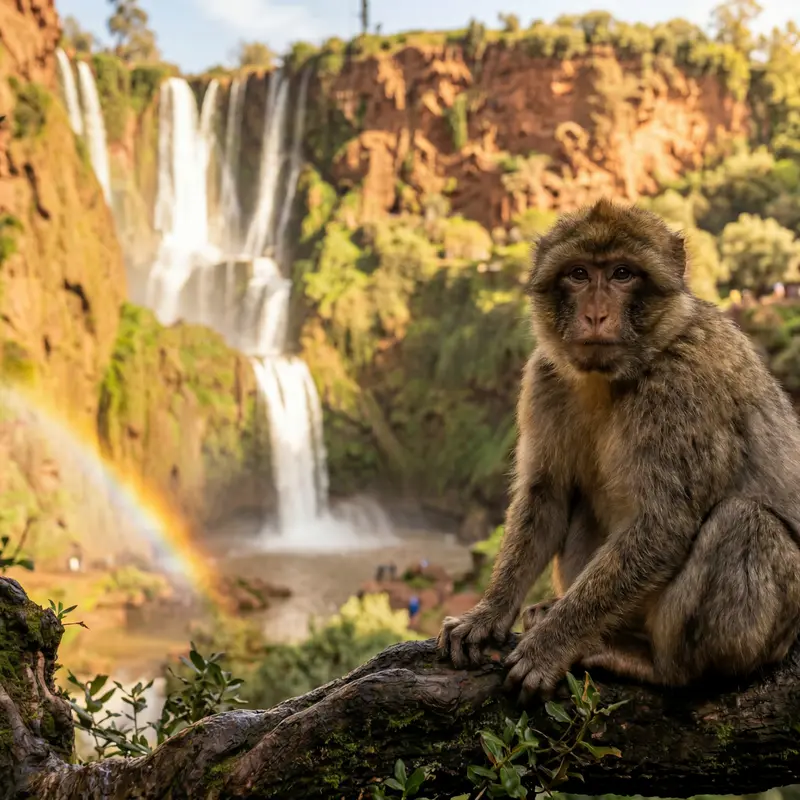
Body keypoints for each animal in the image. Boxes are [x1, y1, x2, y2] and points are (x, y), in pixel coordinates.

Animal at [438, 198, 800, 702]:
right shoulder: (545, 377)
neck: (623, 370)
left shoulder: (681, 388)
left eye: (623, 273)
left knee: (744, 523)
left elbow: (663, 522)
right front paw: (487, 614)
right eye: (579, 274)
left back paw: (654, 664)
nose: (595, 315)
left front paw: (551, 644)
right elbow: (547, 495)